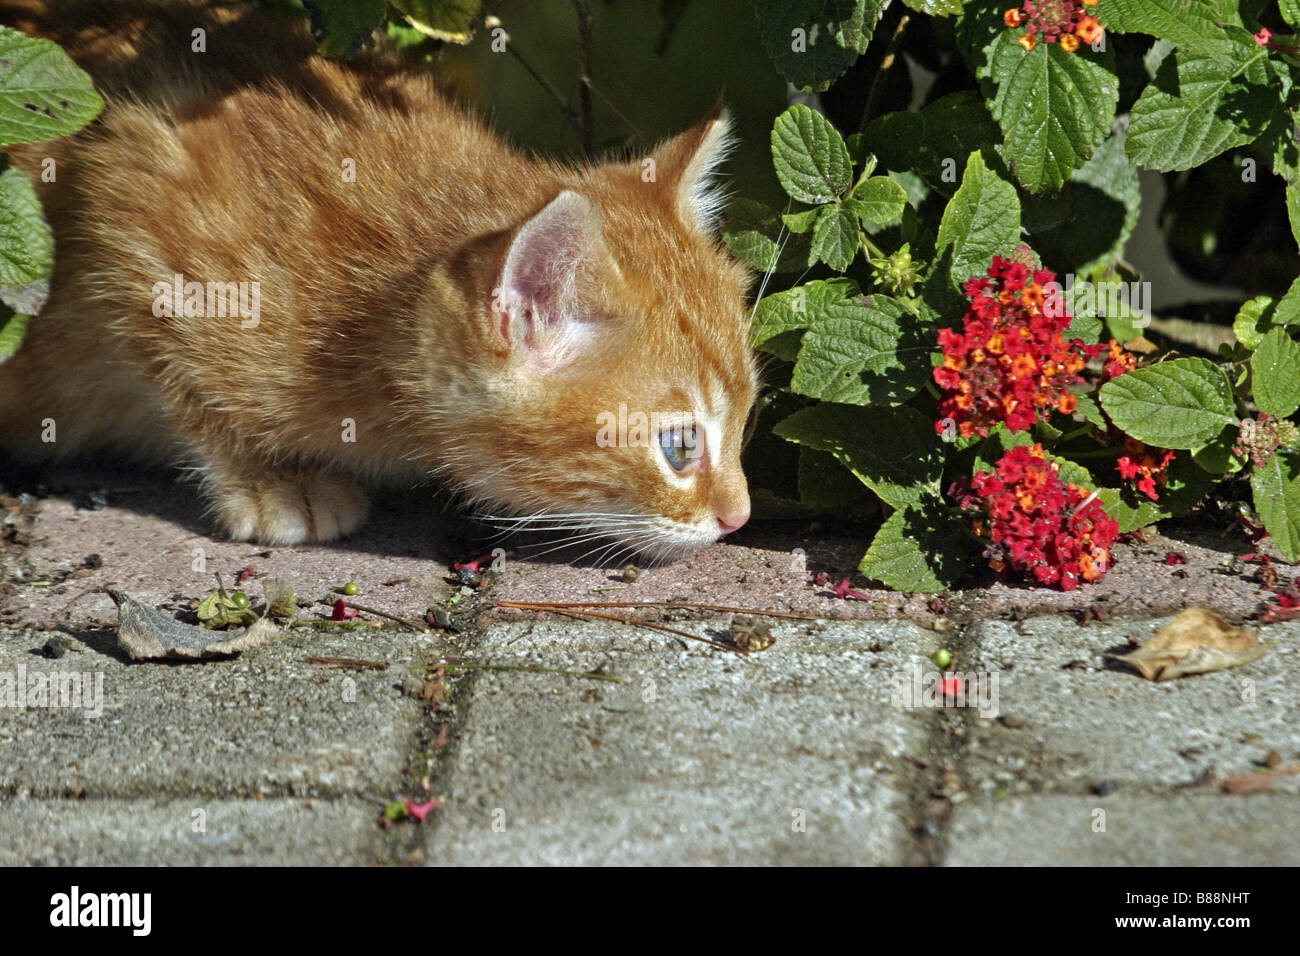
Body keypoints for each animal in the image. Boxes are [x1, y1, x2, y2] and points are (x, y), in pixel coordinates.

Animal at [0, 0, 759, 561]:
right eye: (680, 446)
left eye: (747, 417)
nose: (741, 517)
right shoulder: (128, 197)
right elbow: (177, 373)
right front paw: (269, 476)